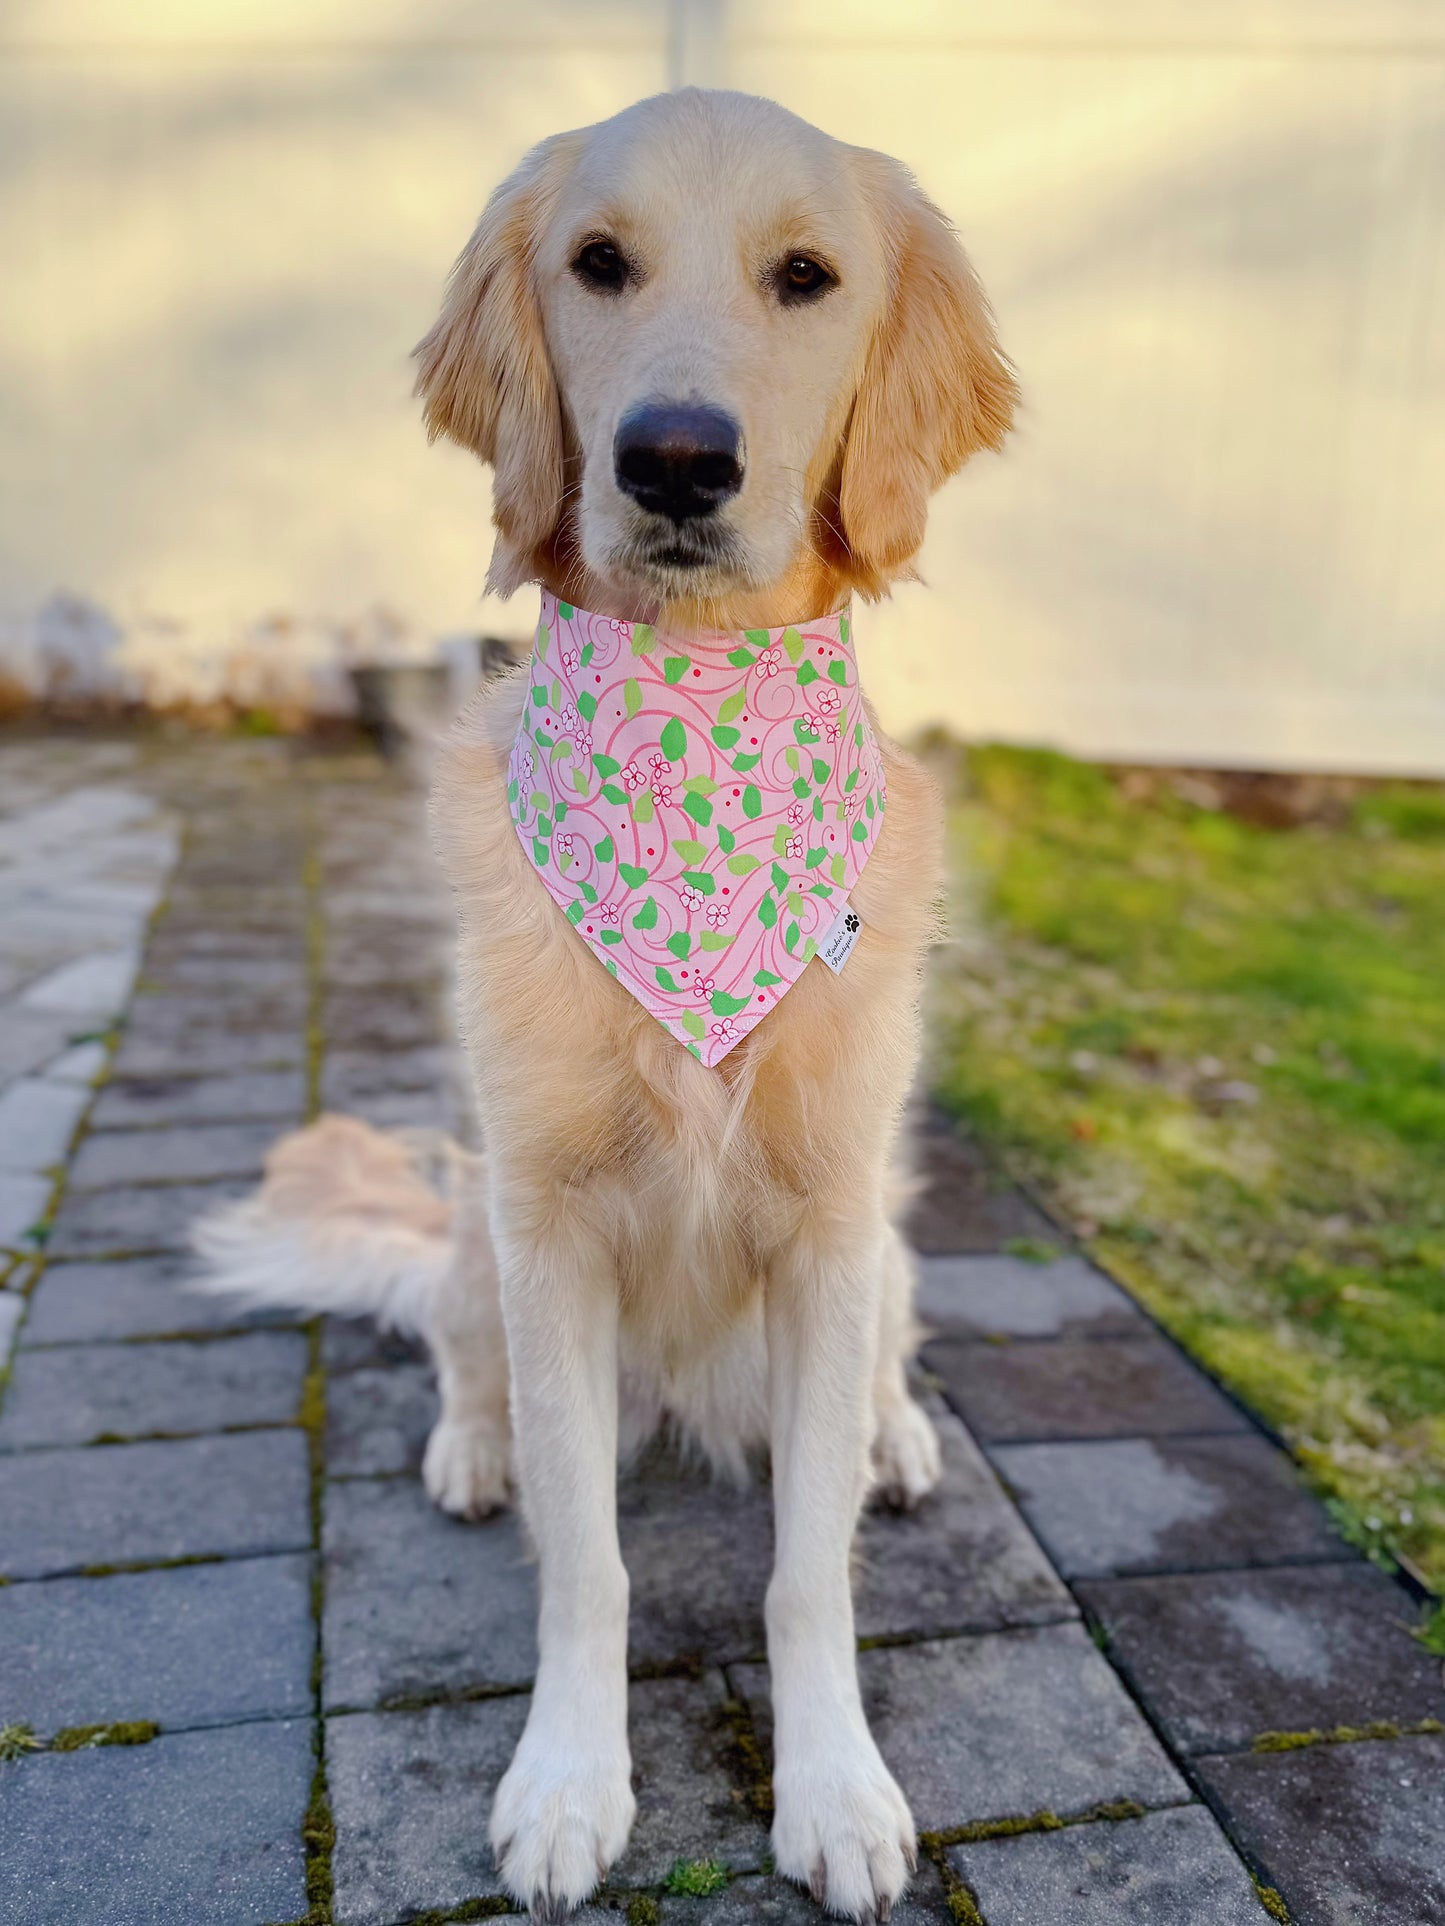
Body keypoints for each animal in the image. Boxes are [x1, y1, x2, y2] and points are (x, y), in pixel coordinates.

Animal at [195, 82, 1017, 1918]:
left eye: (806, 275)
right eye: (597, 263)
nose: (678, 459)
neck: (694, 728)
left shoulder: (831, 1226)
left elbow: (805, 1573)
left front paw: (835, 1789)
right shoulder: (549, 1222)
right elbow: (588, 1562)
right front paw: (569, 1782)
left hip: (886, 1245)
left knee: (884, 1370)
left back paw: (896, 1438)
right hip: (477, 1228)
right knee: (457, 1349)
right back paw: (473, 1446)